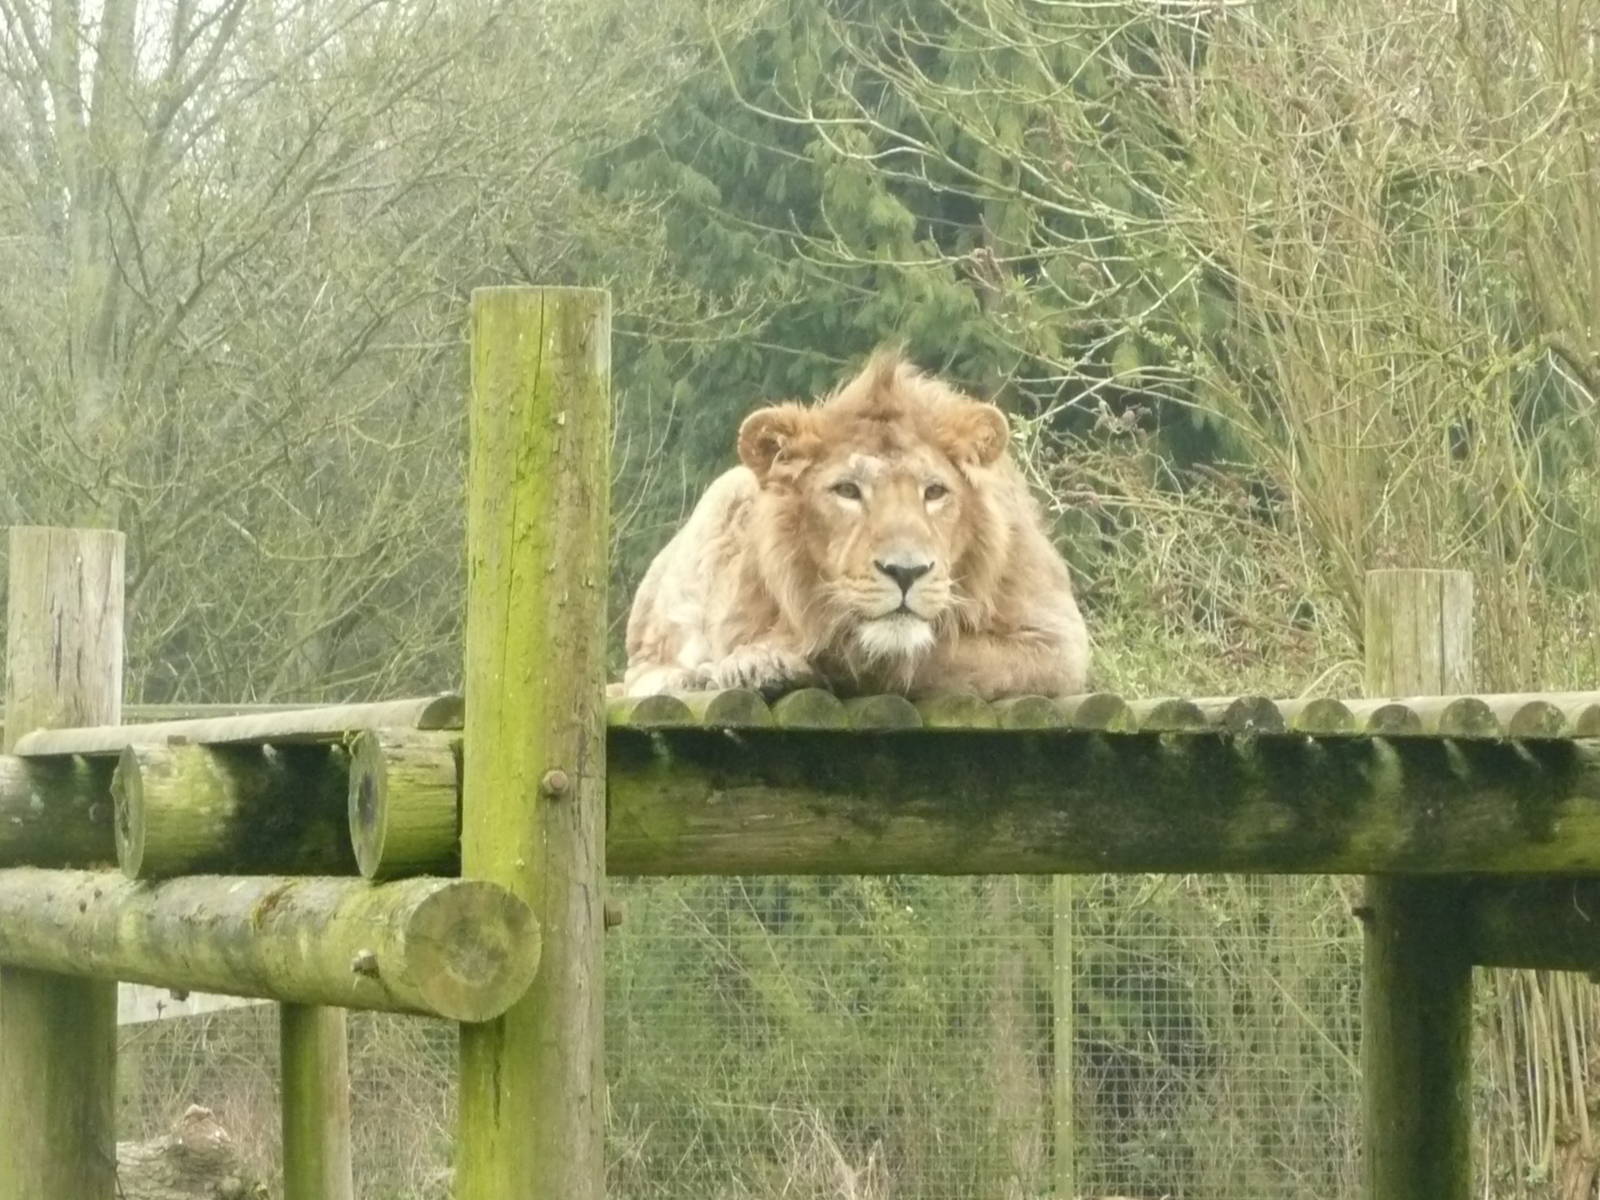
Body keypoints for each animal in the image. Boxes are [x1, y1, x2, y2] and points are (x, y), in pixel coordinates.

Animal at [621, 350, 1089, 700]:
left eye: (935, 492)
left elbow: (924, 657)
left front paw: (778, 658)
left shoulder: (1057, 643)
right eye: (847, 490)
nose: (906, 572)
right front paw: (759, 661)